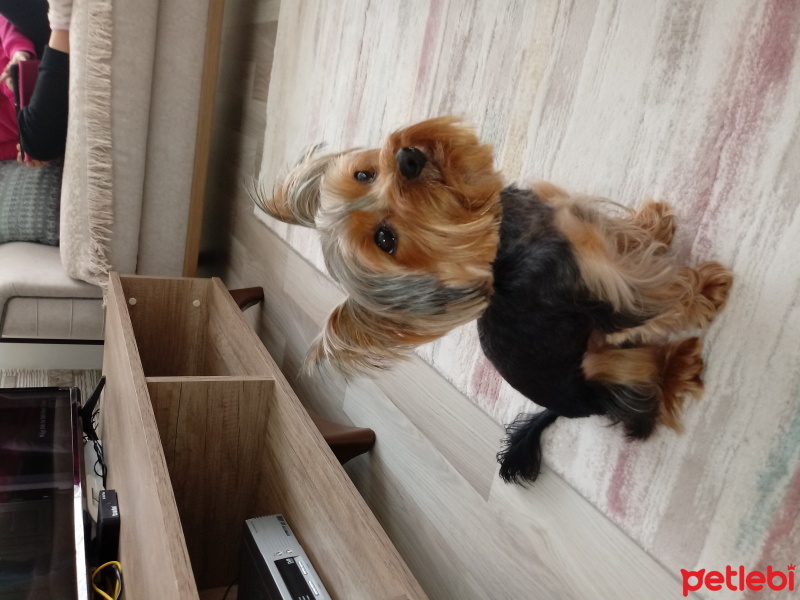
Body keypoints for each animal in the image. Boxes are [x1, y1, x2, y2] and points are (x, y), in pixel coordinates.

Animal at [253, 116, 736, 482]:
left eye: (364, 174)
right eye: (385, 240)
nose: (408, 158)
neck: (499, 236)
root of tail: (569, 408)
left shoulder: (578, 225)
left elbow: (627, 235)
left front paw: (655, 222)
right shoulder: (607, 290)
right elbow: (662, 298)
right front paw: (706, 290)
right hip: (601, 370)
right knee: (640, 389)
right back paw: (680, 366)